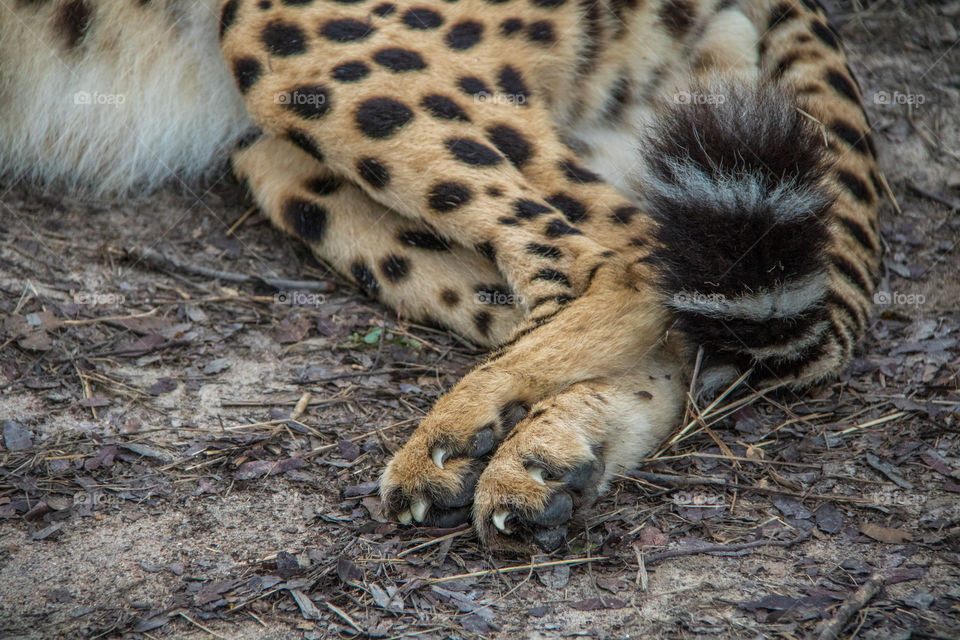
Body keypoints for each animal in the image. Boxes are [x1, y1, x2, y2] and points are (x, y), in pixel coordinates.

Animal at [0, 0, 881, 551]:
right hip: (285, 159)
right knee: (663, 314)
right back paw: (541, 458)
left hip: (295, 41)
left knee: (622, 253)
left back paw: (454, 434)